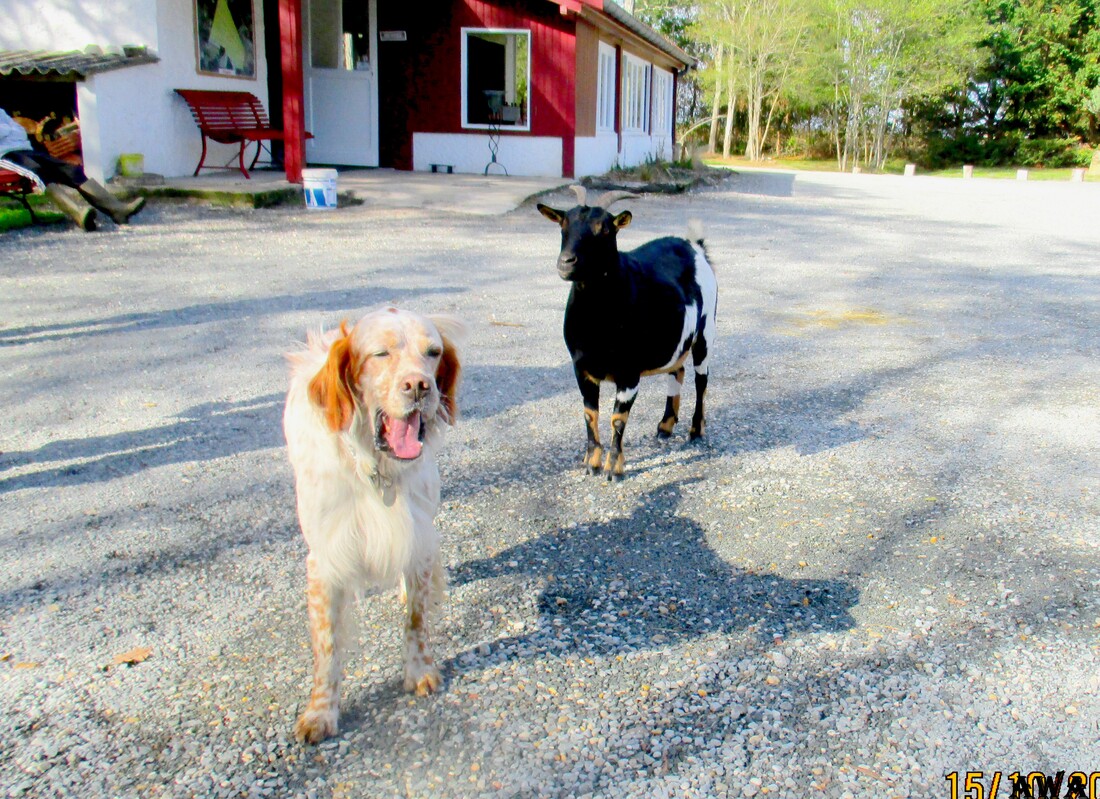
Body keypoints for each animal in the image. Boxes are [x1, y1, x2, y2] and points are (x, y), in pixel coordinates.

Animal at [283, 305, 464, 743]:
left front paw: (419, 671)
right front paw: (320, 711)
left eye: (433, 352)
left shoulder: (417, 537)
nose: (419, 386)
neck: (377, 469)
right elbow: (327, 647)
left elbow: (416, 619)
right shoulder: (325, 560)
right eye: (380, 354)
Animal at [539, 184, 712, 479]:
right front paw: (591, 463)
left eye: (605, 229)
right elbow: (590, 414)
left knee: (702, 379)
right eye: (563, 224)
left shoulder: (628, 372)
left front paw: (614, 468)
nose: (566, 262)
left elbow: (618, 419)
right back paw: (665, 425)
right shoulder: (581, 368)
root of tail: (695, 245)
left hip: (705, 330)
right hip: (677, 338)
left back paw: (696, 430)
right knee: (677, 370)